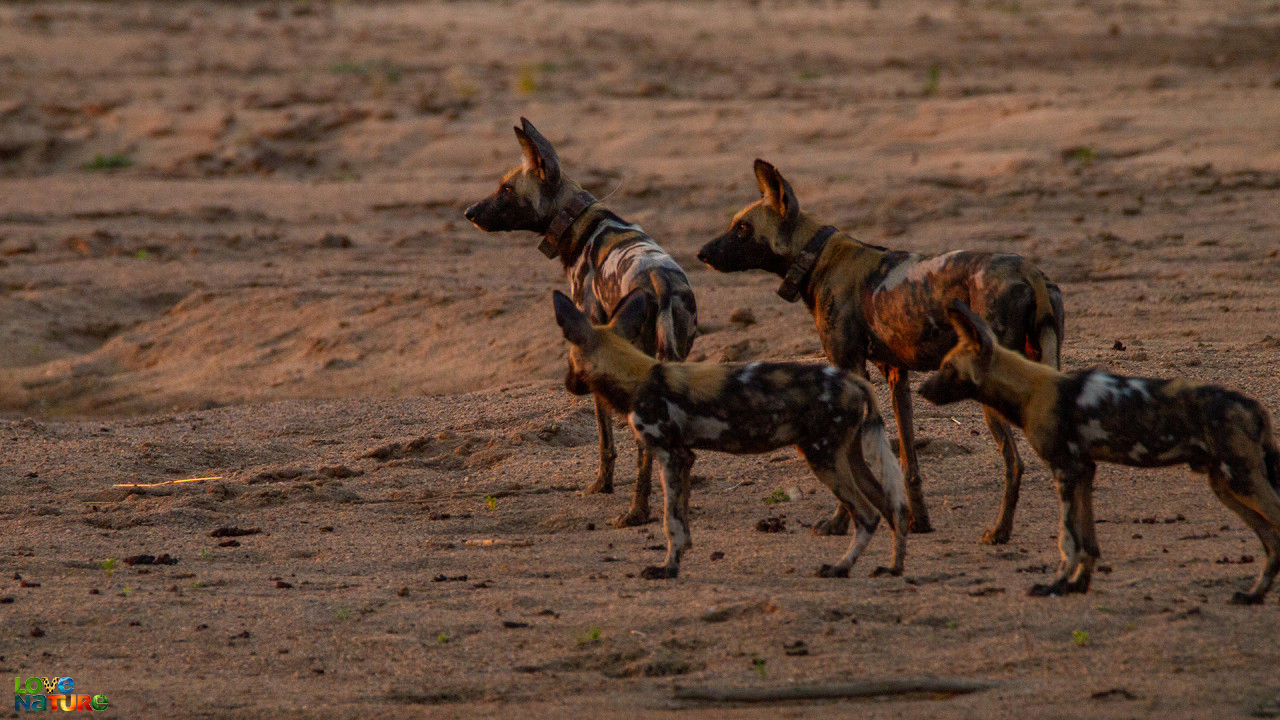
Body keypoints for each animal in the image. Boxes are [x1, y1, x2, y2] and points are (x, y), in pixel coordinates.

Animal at [465, 117, 696, 527]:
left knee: (645, 452)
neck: (579, 221)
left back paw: (636, 513)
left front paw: (602, 486)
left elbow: (605, 444)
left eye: (506, 189)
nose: (469, 212)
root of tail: (661, 282)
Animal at [552, 285, 911, 576]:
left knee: (867, 515)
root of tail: (854, 380)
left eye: (568, 362)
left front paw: (667, 569)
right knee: (893, 508)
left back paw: (839, 568)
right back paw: (893, 567)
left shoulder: (671, 456)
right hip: (848, 457)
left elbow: (671, 522)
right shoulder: (685, 458)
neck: (637, 376)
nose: (567, 384)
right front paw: (677, 561)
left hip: (822, 458)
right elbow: (682, 524)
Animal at [696, 158, 1064, 543]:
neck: (818, 258)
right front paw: (918, 522)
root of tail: (1030, 272)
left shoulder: (850, 372)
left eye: (742, 229)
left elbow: (851, 463)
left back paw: (1000, 531)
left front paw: (841, 522)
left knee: (1014, 462)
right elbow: (907, 461)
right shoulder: (896, 375)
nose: (701, 254)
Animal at [921, 299, 1280, 602]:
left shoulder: (1064, 472)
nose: (922, 389)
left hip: (1240, 480)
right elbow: (1088, 542)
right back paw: (1254, 594)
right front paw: (1077, 584)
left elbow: (1067, 540)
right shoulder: (1084, 470)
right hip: (1224, 486)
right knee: (1272, 542)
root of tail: (1255, 407)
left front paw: (1055, 585)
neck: (1029, 389)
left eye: (948, 368)